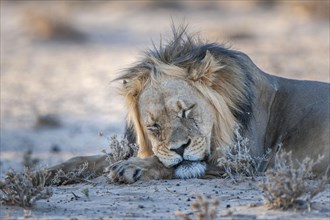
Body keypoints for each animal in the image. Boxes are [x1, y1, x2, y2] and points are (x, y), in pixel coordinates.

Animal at [47, 27, 330, 184]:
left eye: (186, 111)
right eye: (153, 125)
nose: (180, 148)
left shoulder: (244, 160)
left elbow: (163, 163)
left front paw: (132, 168)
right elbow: (86, 159)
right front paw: (45, 172)